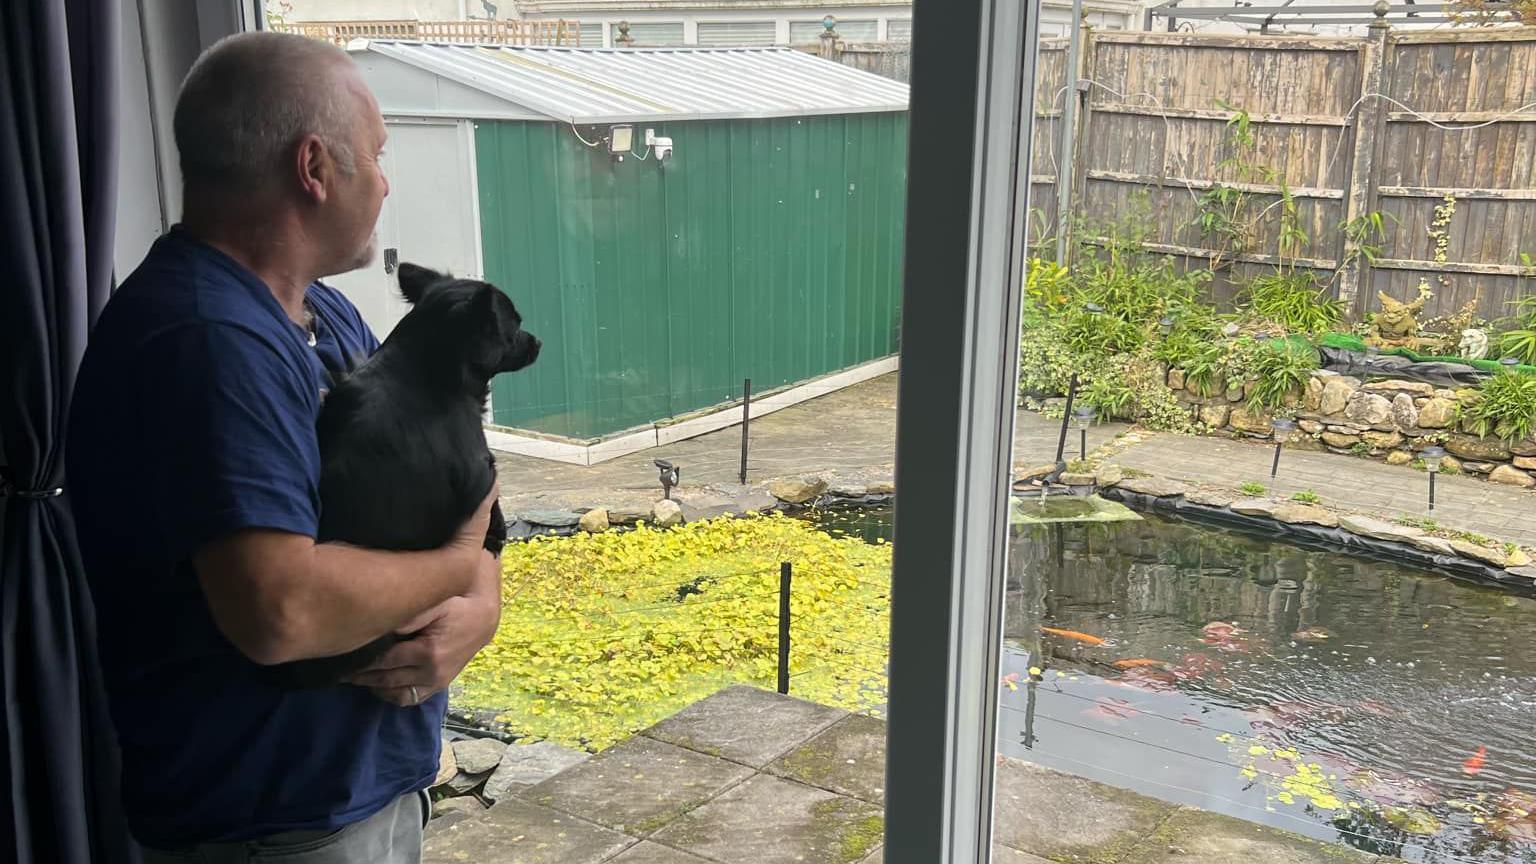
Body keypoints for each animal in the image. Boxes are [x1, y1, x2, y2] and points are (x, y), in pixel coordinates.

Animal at [254, 262, 537, 685]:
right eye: (514, 324)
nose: (537, 341)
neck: (422, 367)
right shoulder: (480, 470)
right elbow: (492, 508)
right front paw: (495, 537)